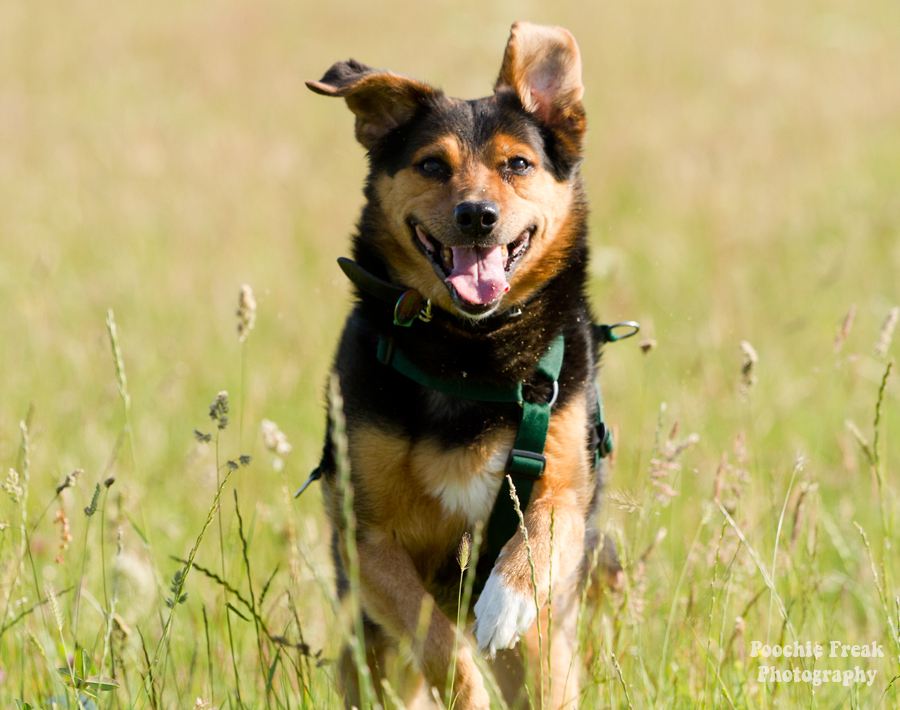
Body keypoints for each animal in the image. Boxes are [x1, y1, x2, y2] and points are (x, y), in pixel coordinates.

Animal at [306, 22, 616, 710]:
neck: (469, 353)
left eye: (518, 164)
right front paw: (465, 682)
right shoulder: (365, 537)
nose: (477, 215)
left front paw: (505, 597)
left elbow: (544, 528)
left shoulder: (565, 483)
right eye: (431, 165)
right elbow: (435, 637)